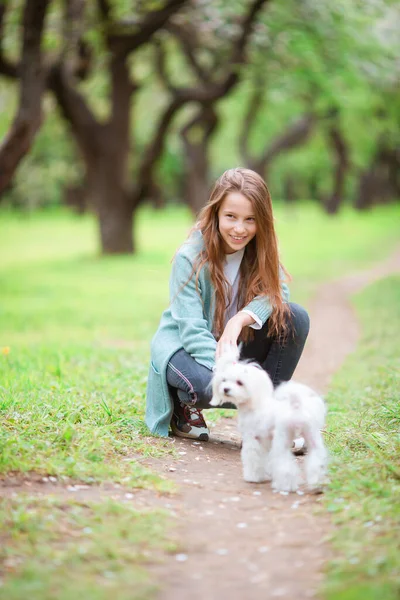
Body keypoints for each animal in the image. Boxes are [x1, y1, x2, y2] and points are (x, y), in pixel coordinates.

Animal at [209, 346, 328, 492]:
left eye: (239, 382)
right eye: (224, 380)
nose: (226, 389)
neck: (253, 404)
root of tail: (296, 406)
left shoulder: (252, 439)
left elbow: (252, 457)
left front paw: (253, 477)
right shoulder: (265, 440)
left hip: (282, 437)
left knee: (284, 462)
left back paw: (285, 486)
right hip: (311, 435)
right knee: (316, 458)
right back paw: (317, 484)